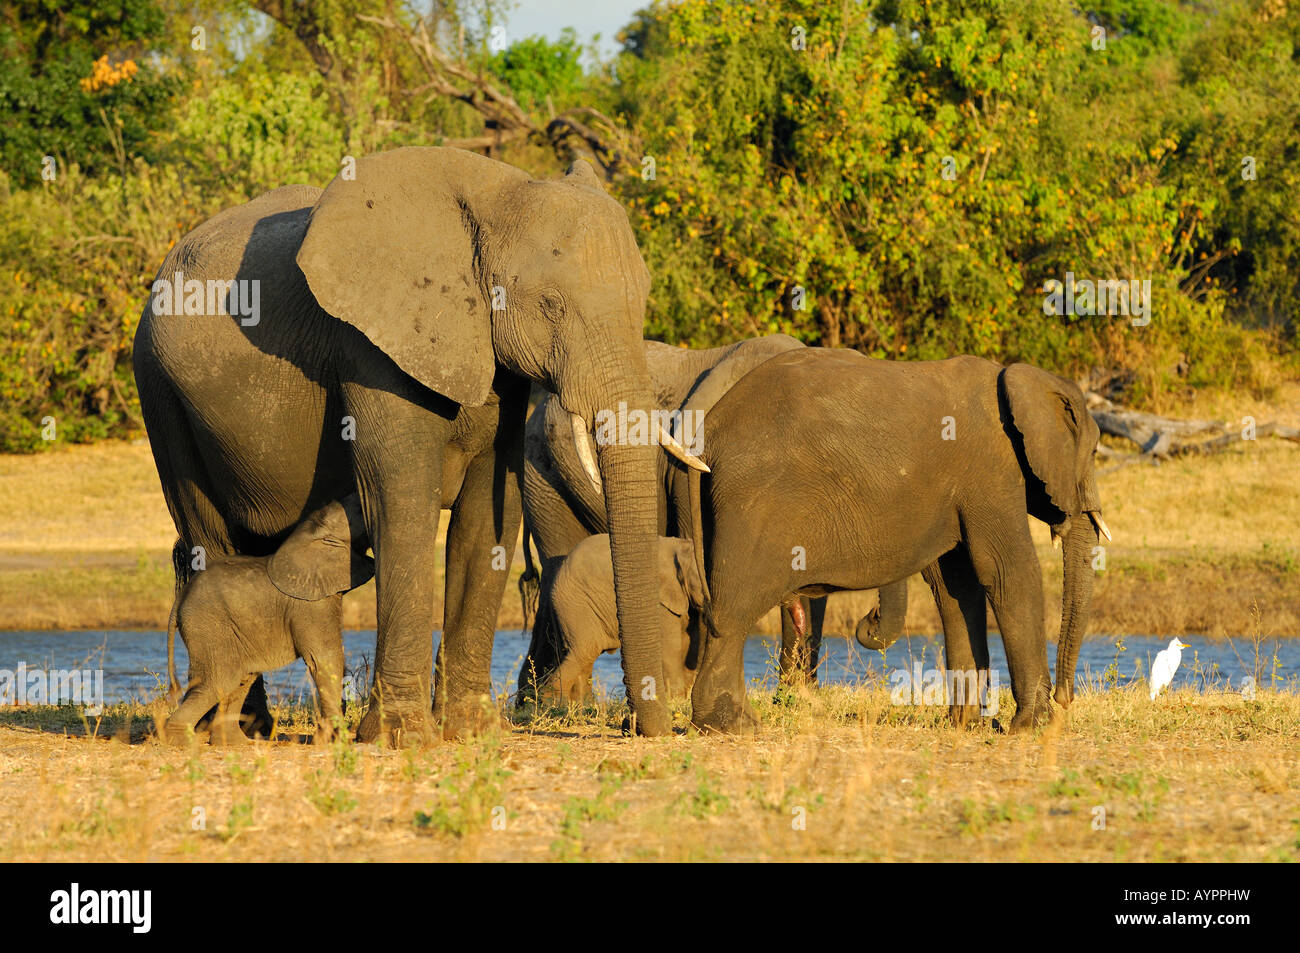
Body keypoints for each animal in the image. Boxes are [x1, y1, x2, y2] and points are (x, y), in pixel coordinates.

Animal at [165, 494, 374, 748]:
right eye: (359, 510)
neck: (310, 534)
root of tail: (181, 596)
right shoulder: (309, 605)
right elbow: (324, 658)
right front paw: (331, 738)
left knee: (241, 677)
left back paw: (236, 743)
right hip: (206, 624)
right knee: (219, 680)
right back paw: (180, 741)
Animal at [533, 535, 707, 696]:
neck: (680, 547)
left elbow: (689, 640)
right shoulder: (659, 598)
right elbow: (672, 646)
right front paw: (676, 698)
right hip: (575, 604)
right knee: (585, 650)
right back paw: (550, 700)